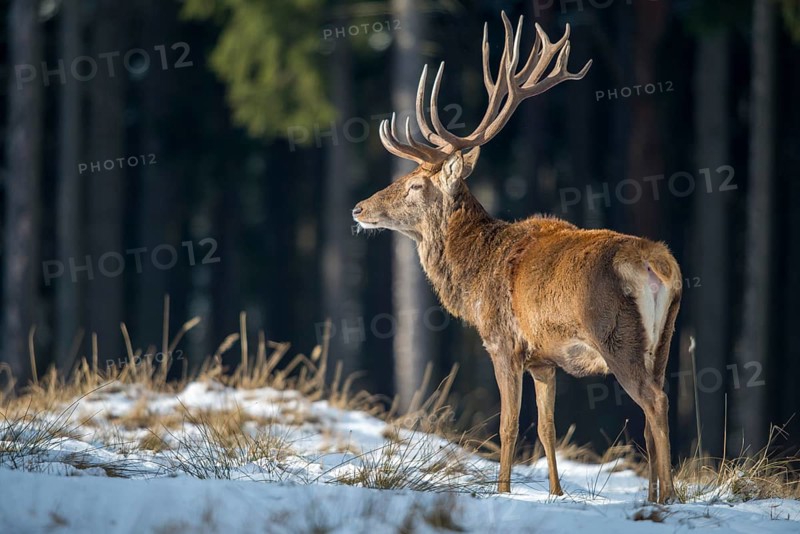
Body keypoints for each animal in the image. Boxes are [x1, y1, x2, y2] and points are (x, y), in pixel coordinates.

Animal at [352, 12, 681, 504]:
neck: (473, 275)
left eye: (414, 184)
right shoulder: (544, 358)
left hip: (617, 336)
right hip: (663, 340)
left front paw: (502, 492)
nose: (358, 209)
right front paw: (556, 494)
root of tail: (657, 266)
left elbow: (507, 426)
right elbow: (546, 429)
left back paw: (669, 498)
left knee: (655, 402)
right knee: (653, 406)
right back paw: (656, 495)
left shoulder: (502, 341)